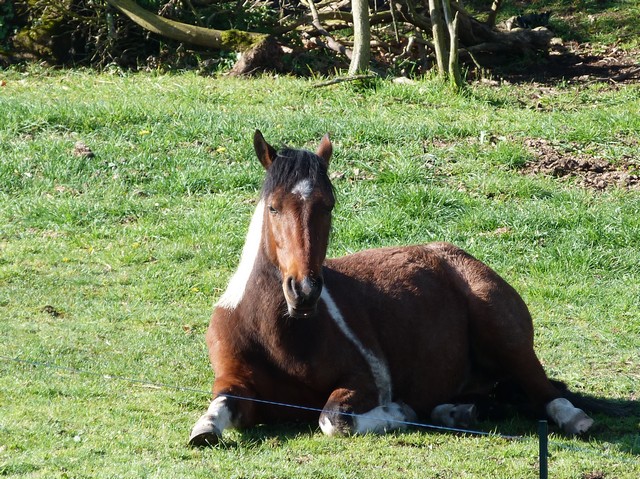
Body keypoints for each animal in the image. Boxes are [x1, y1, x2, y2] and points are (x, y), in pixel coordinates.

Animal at [188, 130, 596, 446]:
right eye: (273, 207)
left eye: (328, 206)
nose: (304, 291)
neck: (279, 335)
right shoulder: (234, 382)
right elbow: (218, 408)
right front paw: (204, 428)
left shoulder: (365, 380)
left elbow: (333, 420)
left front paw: (400, 410)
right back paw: (458, 411)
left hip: (506, 337)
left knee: (546, 392)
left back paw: (575, 419)